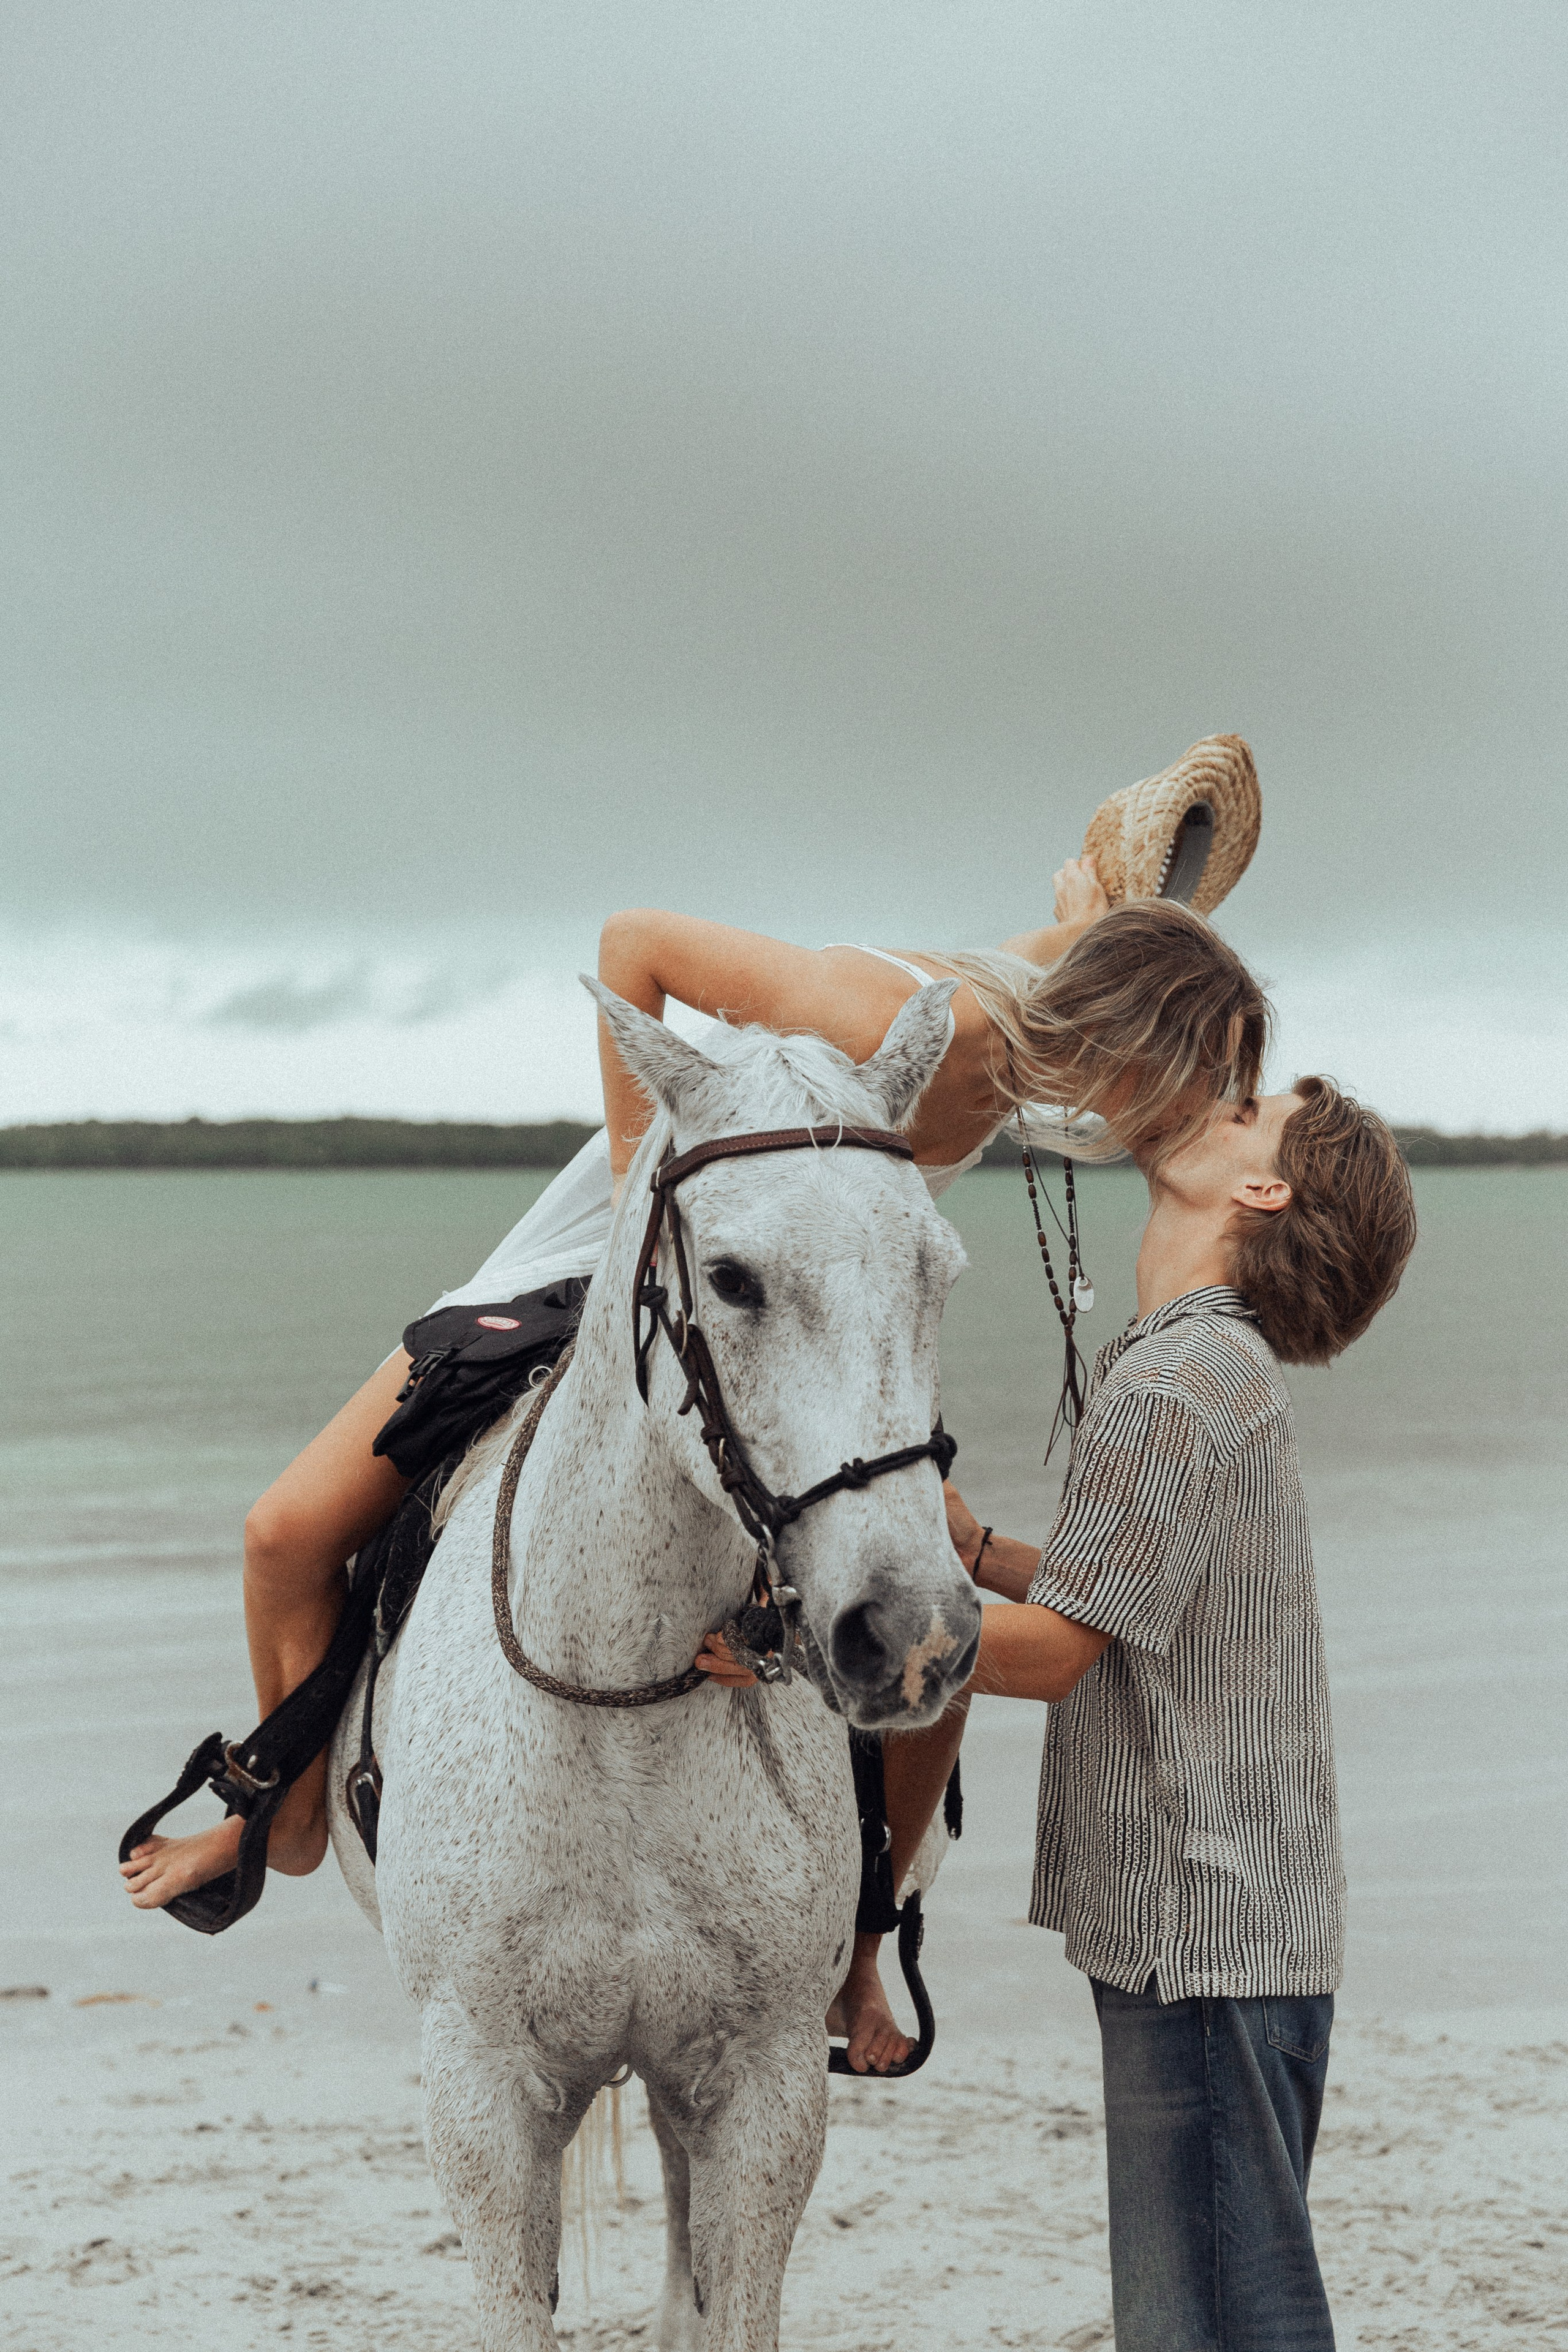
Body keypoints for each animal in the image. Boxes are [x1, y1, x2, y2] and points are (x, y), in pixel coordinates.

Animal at [326, 976, 982, 2351]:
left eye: (935, 1272)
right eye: (730, 1278)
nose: (913, 1635)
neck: (622, 1700)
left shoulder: (762, 2089)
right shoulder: (484, 2097)